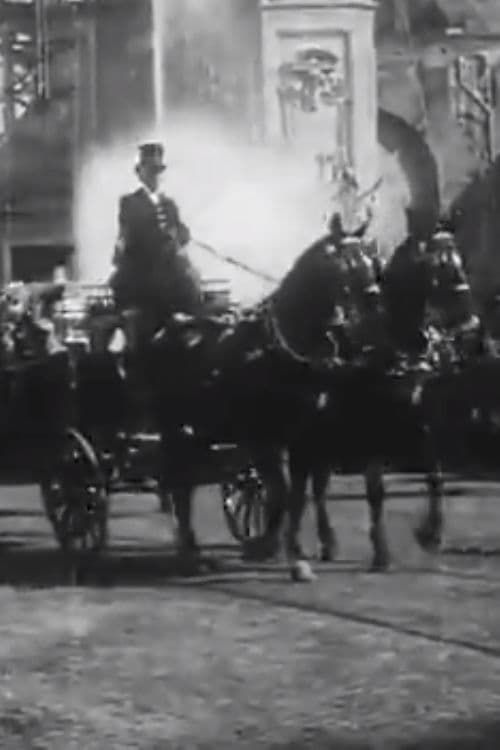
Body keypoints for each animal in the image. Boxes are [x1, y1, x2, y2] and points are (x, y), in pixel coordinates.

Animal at [282, 232, 476, 572]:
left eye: (460, 260)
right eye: (441, 266)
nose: (470, 320)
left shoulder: (420, 422)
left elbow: (435, 475)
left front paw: (431, 533)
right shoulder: (371, 429)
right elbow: (376, 492)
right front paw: (382, 552)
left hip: (326, 440)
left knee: (318, 488)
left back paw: (327, 542)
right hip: (306, 441)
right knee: (302, 490)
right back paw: (305, 545)